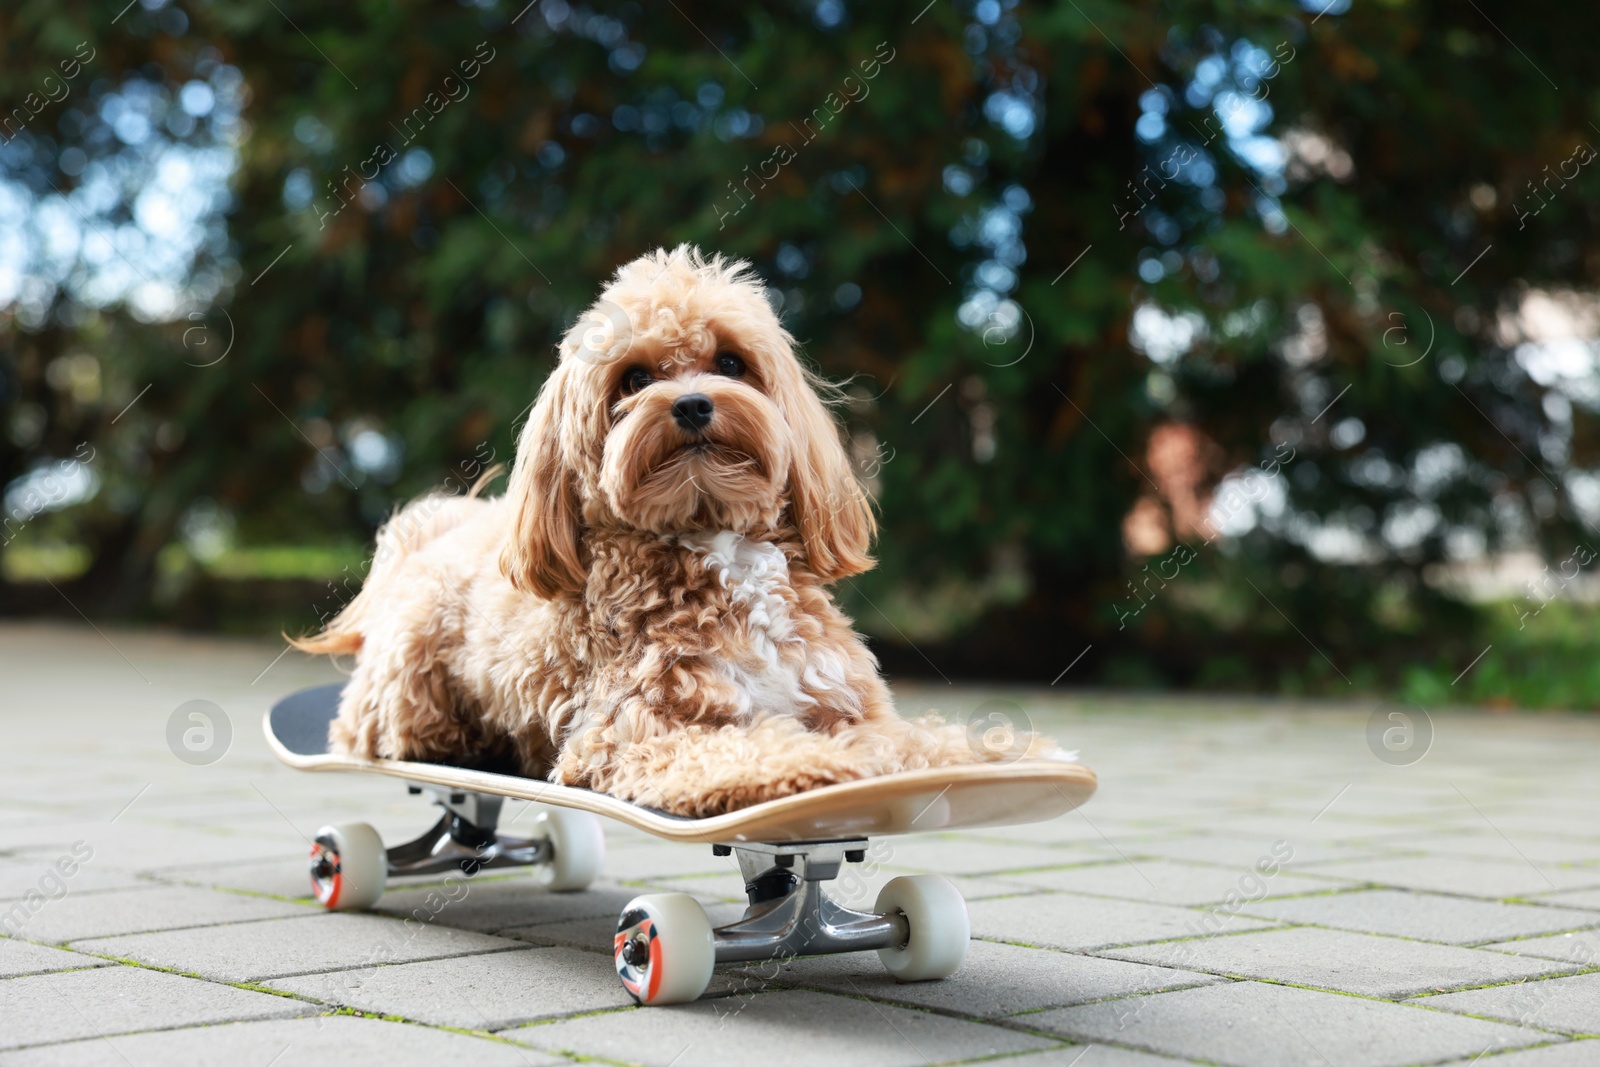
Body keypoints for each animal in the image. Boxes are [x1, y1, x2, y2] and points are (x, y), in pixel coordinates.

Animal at [297, 246, 1062, 812]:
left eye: (730, 362)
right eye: (634, 379)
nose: (692, 404)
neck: (721, 547)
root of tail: (435, 536)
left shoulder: (849, 702)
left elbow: (914, 739)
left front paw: (1000, 751)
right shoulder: (632, 734)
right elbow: (750, 748)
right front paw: (820, 765)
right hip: (409, 696)